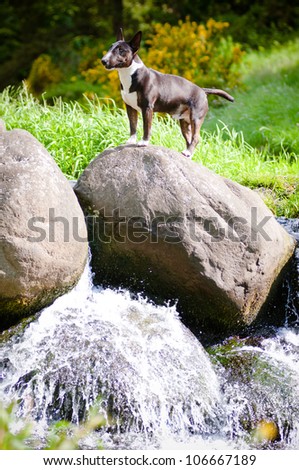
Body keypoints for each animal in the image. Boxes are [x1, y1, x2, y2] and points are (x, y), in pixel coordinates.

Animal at [102, 29, 236, 158]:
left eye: (121, 50)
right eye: (110, 47)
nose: (103, 61)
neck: (130, 74)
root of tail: (203, 90)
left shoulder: (147, 108)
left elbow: (146, 127)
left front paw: (144, 142)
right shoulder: (130, 107)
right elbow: (133, 125)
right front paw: (131, 140)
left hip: (196, 118)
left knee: (196, 138)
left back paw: (188, 152)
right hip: (184, 122)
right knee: (189, 139)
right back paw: (187, 154)